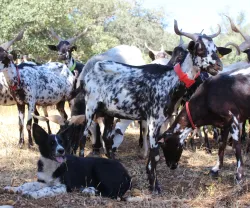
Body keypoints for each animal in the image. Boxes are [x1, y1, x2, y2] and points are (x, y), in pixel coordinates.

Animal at [3, 122, 132, 199]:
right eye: (51, 143)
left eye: (62, 143)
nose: (61, 150)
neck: (52, 165)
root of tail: (127, 173)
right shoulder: (43, 181)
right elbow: (28, 184)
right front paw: (14, 188)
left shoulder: (64, 186)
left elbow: (47, 189)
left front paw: (32, 194)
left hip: (99, 168)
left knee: (112, 193)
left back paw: (89, 191)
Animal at [80, 20, 230, 193]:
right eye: (199, 47)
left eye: (215, 48)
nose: (218, 66)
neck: (169, 80)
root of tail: (92, 69)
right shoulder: (153, 120)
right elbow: (155, 154)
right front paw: (155, 186)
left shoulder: (161, 120)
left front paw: (151, 180)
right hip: (90, 107)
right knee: (83, 136)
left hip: (109, 112)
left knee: (107, 138)